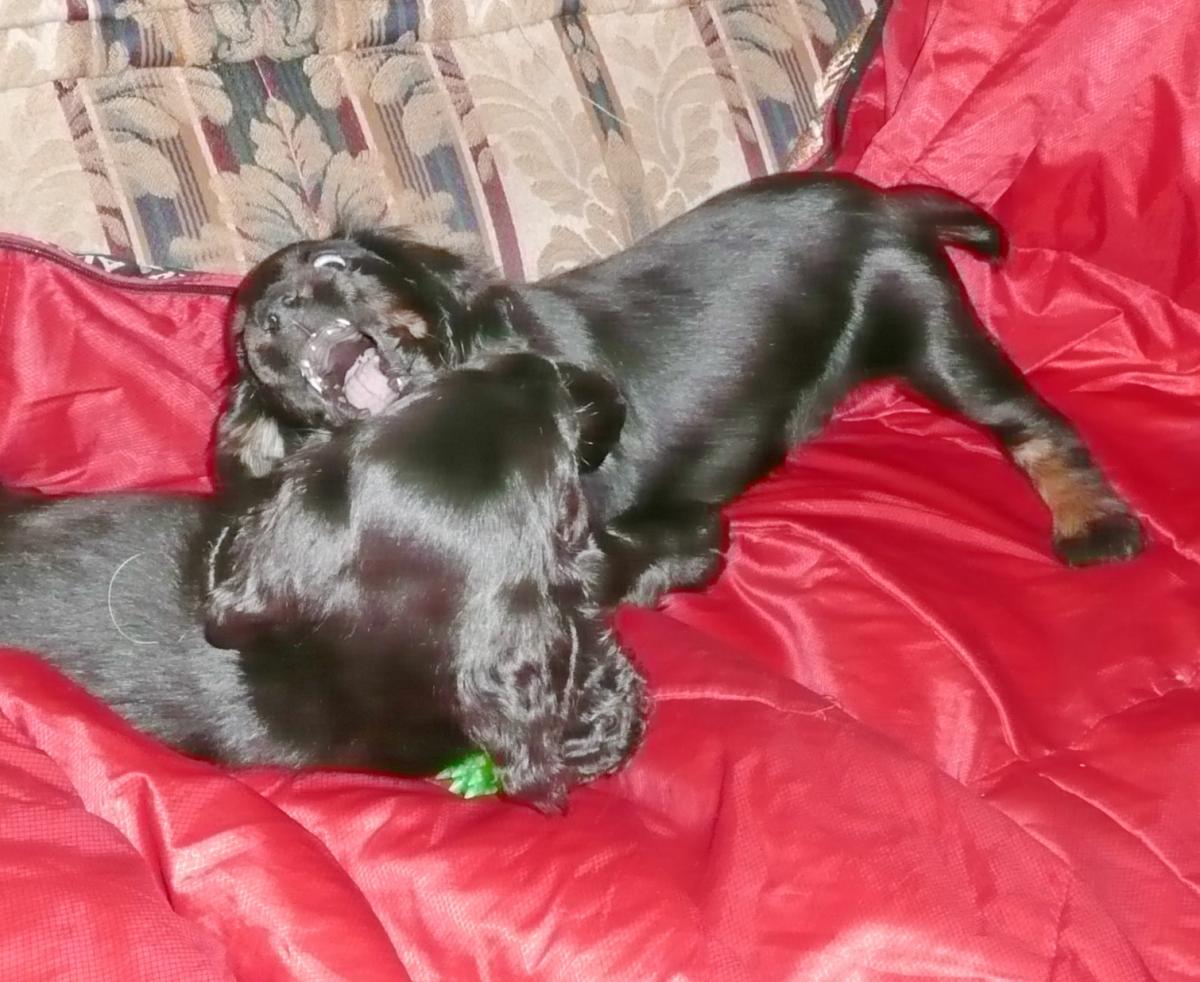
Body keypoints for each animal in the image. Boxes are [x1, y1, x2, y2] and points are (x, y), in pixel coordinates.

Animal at [220, 172, 1144, 606]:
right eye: (247, 340)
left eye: (337, 262)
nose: (282, 315)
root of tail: (883, 200)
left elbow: (621, 557)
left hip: (933, 335)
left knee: (1036, 425)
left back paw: (1093, 524)